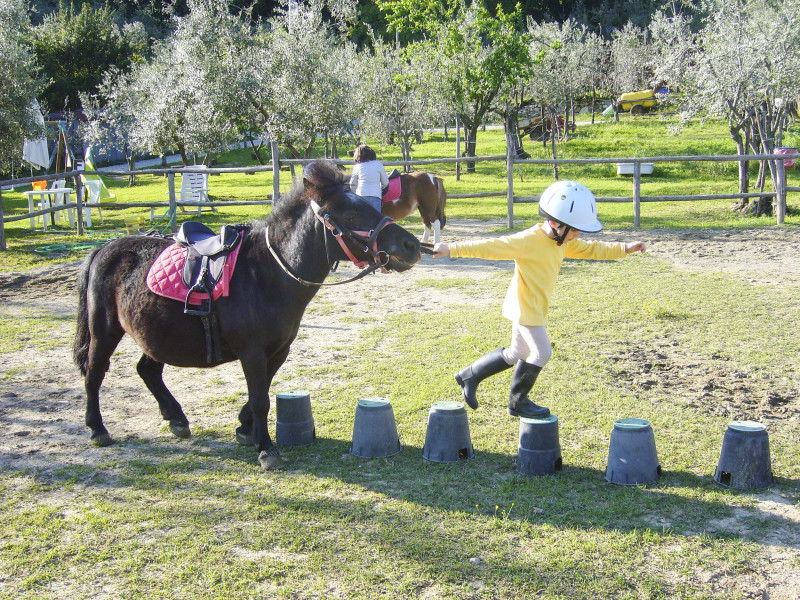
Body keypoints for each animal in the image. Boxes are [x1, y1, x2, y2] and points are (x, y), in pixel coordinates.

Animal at [72, 161, 422, 468]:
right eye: (350, 213)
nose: (411, 245)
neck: (269, 272)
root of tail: (103, 250)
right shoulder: (252, 352)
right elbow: (260, 399)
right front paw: (266, 449)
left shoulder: (278, 350)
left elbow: (262, 392)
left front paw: (245, 429)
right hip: (105, 331)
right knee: (94, 371)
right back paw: (97, 428)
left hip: (157, 336)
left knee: (147, 370)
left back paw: (177, 419)